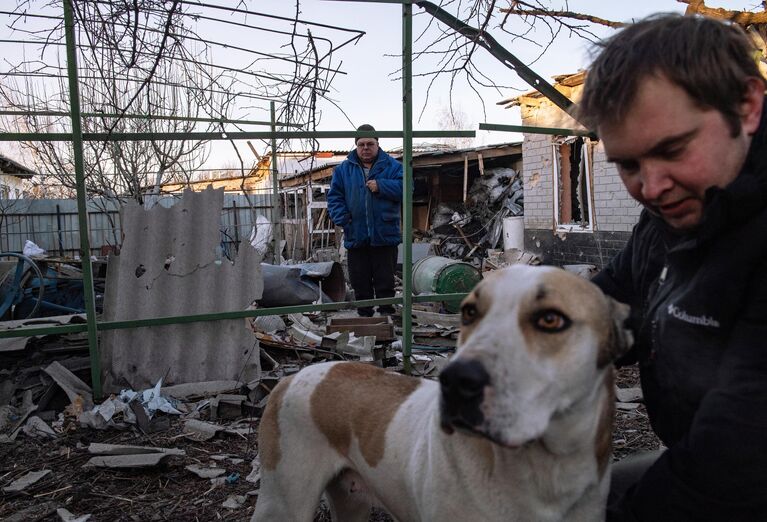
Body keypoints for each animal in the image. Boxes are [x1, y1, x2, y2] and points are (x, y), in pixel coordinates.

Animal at [255, 264, 632, 520]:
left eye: (550, 320)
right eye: (469, 312)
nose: (455, 380)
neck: (544, 469)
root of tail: (293, 377)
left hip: (352, 502)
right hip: (283, 503)